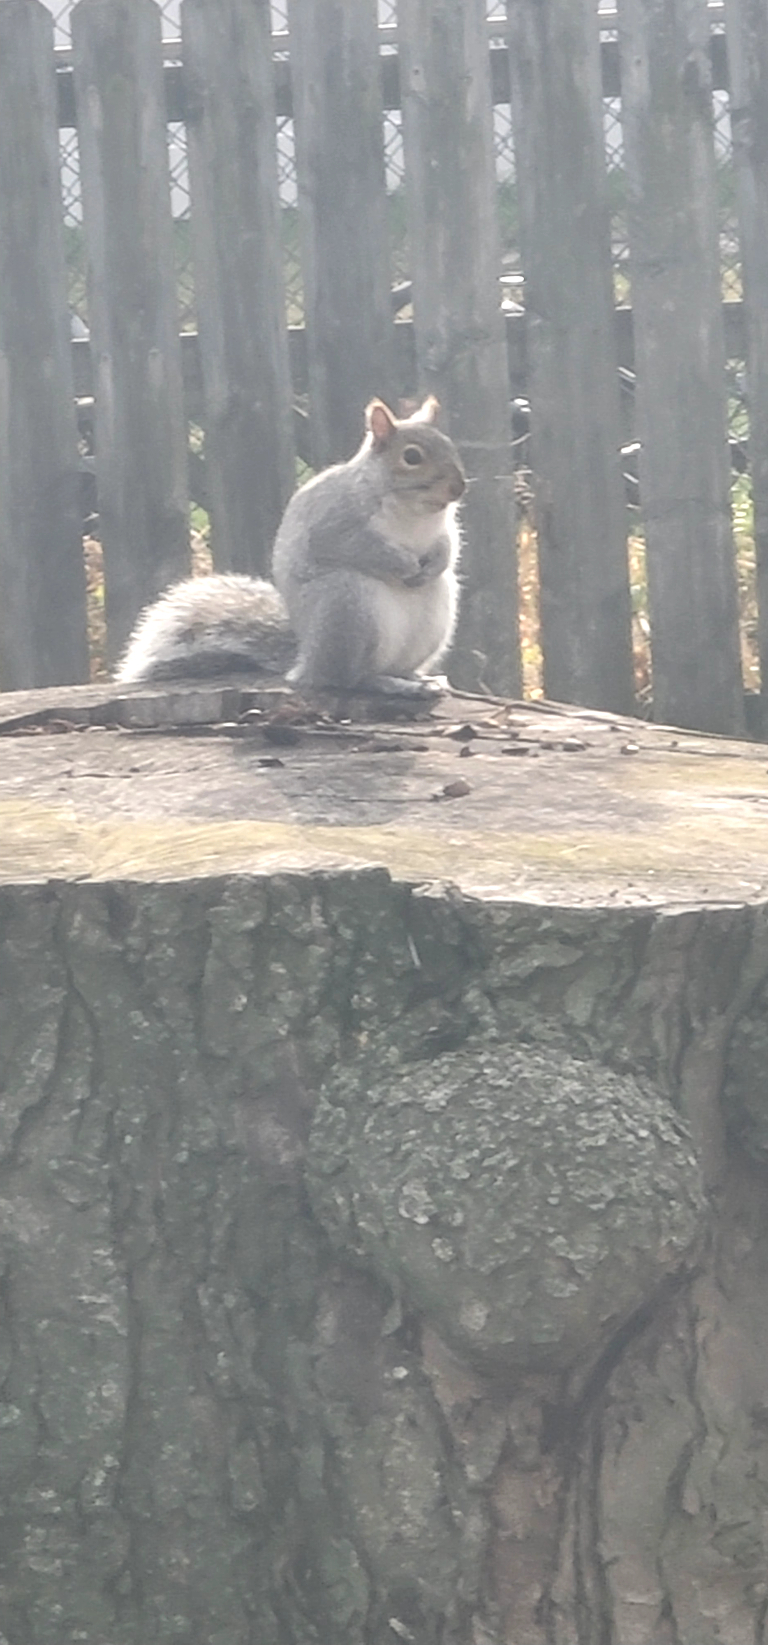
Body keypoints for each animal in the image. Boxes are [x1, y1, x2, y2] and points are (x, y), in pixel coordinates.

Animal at [115, 396, 465, 695]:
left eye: (450, 446)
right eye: (412, 457)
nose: (459, 488)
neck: (414, 510)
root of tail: (306, 661)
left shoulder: (444, 528)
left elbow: (449, 546)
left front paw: (433, 563)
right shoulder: (335, 521)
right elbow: (353, 546)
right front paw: (401, 563)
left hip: (435, 613)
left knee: (394, 665)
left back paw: (418, 679)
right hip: (347, 605)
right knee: (347, 678)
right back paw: (385, 683)